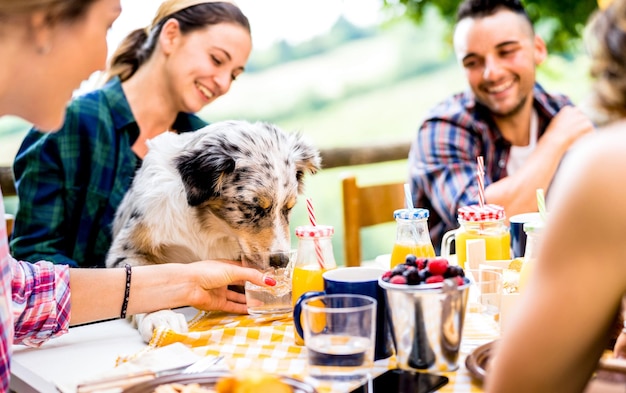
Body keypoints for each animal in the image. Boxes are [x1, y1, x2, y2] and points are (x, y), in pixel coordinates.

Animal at [105, 119, 320, 340]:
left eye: (288, 208)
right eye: (252, 207)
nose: (281, 261)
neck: (209, 225)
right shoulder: (128, 246)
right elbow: (145, 280)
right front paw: (159, 317)